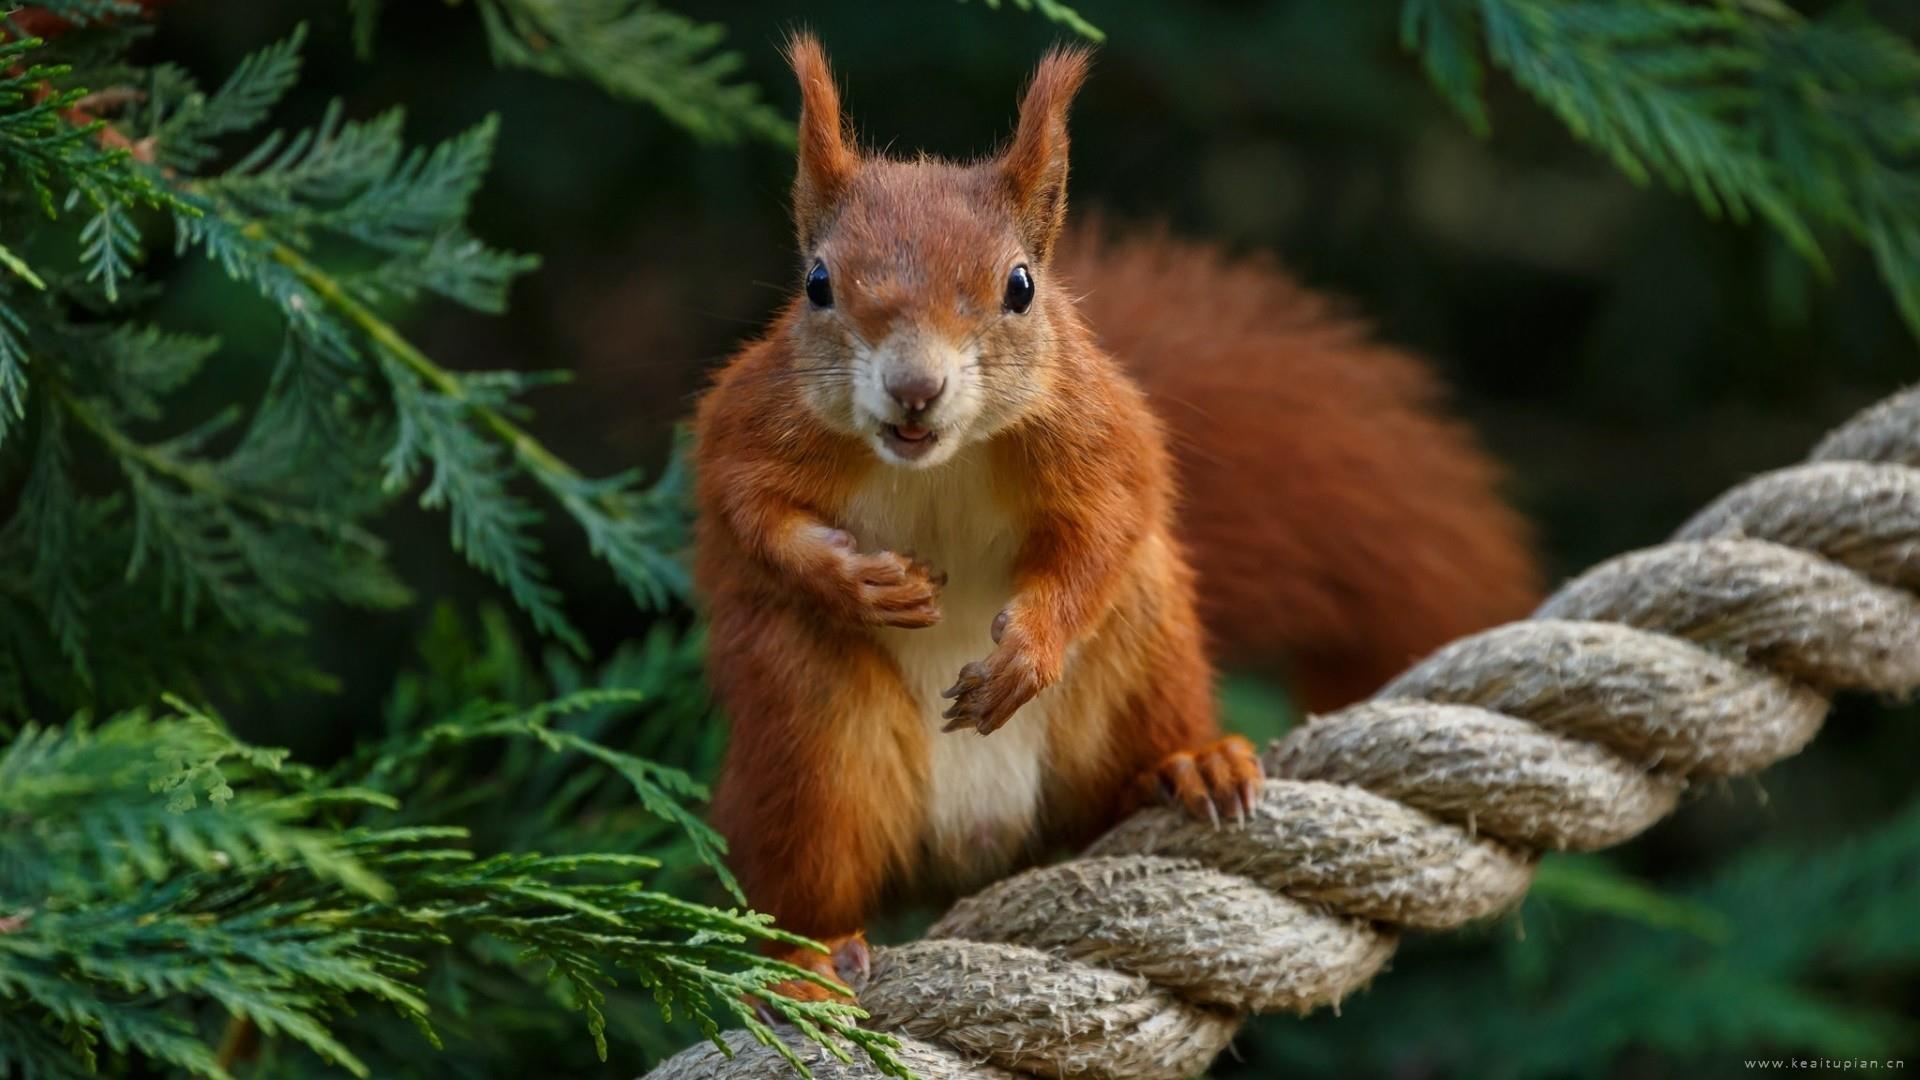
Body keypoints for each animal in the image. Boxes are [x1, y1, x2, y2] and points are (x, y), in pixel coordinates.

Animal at [698, 39, 1536, 999]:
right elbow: (745, 510)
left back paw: (1185, 766)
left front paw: (1029, 649)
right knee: (811, 859)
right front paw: (857, 580)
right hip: (810, 741)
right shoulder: (750, 422)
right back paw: (804, 958)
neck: (938, 462)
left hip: (1140, 658)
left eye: (1021, 286)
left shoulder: (1099, 429)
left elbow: (1111, 522)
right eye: (817, 285)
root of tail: (979, 843)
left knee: (1122, 746)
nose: (915, 388)